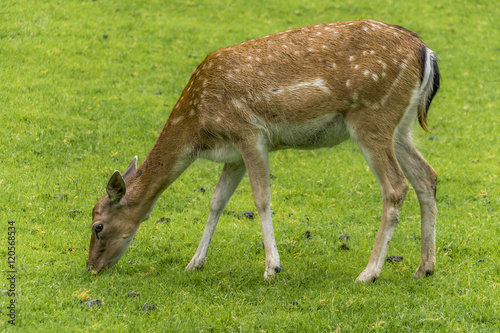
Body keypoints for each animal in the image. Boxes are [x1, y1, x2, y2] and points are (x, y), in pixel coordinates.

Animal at [88, 19, 440, 282]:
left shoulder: (250, 134)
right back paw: (424, 267)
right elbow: (216, 202)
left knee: (396, 186)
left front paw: (272, 267)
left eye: (98, 226)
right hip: (401, 127)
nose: (91, 267)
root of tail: (426, 52)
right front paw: (194, 263)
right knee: (427, 177)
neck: (197, 127)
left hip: (371, 117)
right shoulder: (233, 155)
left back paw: (368, 273)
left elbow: (261, 198)